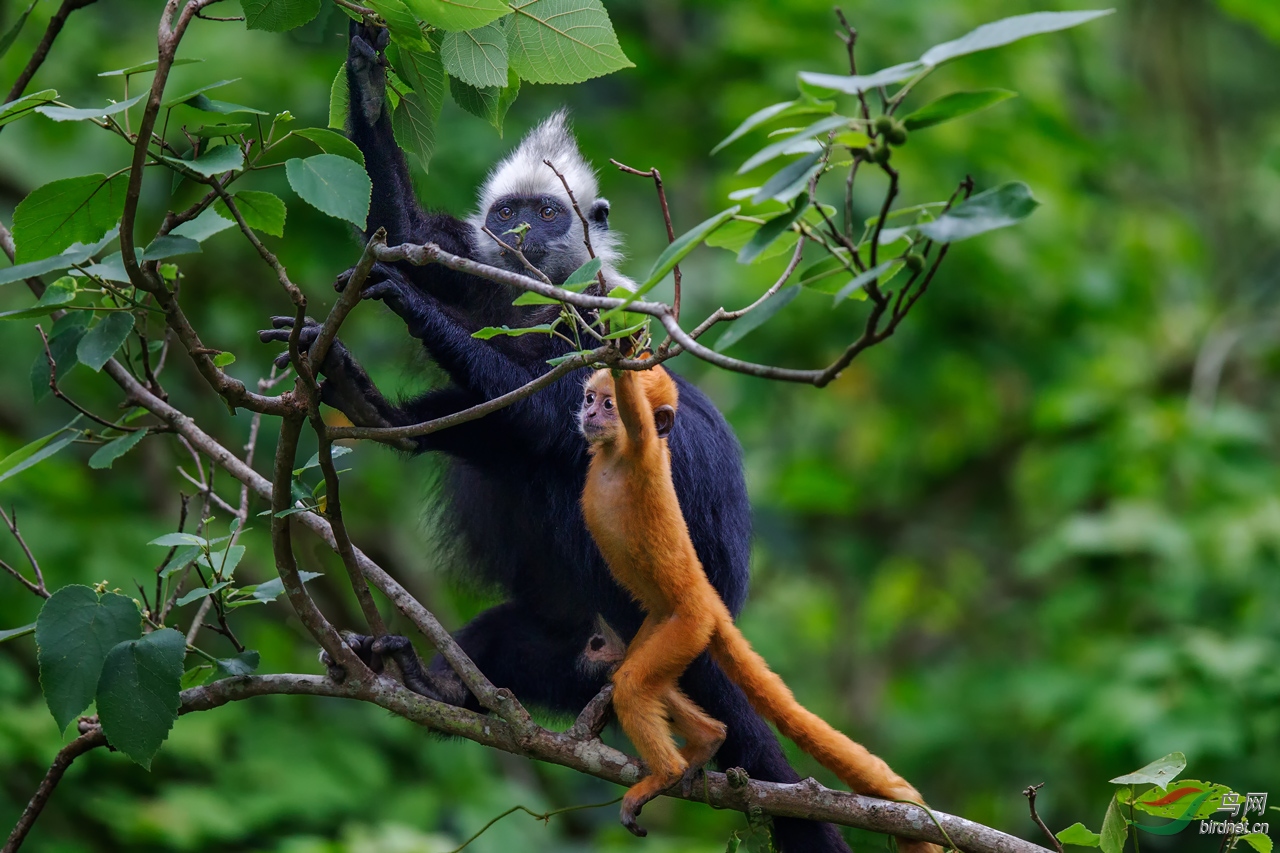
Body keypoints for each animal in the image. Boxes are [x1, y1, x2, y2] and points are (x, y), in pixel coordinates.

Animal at [258, 21, 855, 850]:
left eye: (547, 213)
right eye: (508, 212)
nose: (515, 232)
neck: (542, 306)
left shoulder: (603, 320)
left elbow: (562, 417)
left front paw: (411, 303)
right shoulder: (486, 280)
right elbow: (405, 232)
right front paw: (369, 80)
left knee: (578, 459)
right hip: (557, 651)